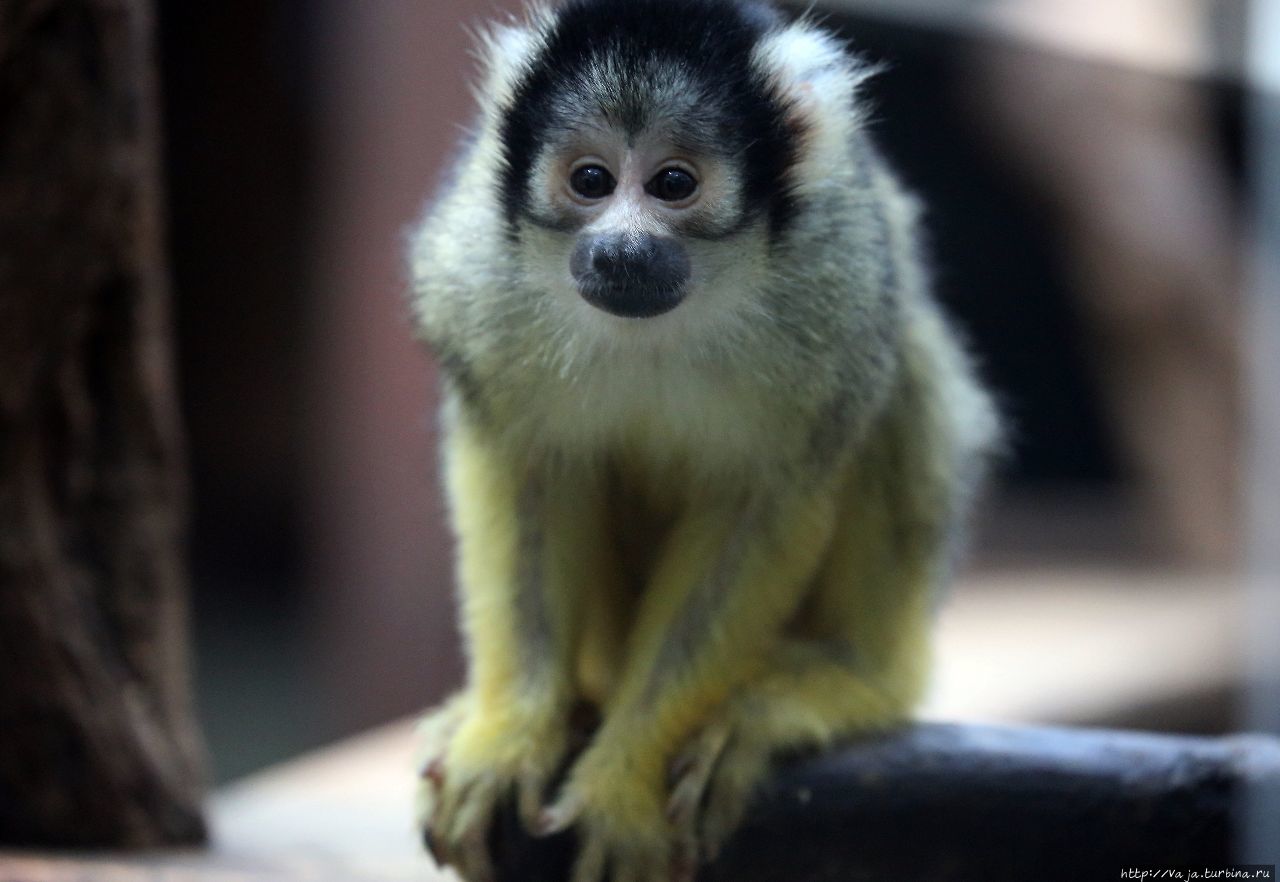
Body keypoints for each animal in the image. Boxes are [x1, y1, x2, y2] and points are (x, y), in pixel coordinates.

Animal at [409, 1, 998, 880]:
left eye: (673, 185)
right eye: (591, 181)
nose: (621, 248)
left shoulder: (835, 278)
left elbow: (765, 504)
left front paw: (625, 779)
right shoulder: (477, 268)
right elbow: (524, 472)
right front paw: (508, 734)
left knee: (901, 362)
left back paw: (855, 682)